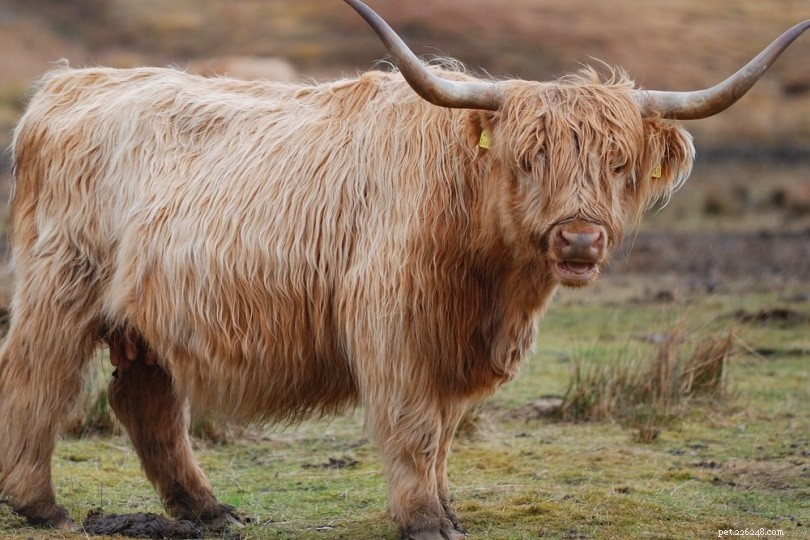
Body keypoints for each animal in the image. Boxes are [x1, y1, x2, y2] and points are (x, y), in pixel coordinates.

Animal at [0, 0, 807, 538]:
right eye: (528, 156)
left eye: (617, 163)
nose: (579, 241)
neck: (493, 284)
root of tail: (68, 86)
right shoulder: (397, 329)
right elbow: (416, 427)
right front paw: (424, 520)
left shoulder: (453, 344)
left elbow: (445, 433)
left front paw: (447, 508)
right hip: (58, 286)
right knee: (38, 381)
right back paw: (40, 505)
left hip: (147, 316)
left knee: (147, 402)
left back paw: (206, 509)